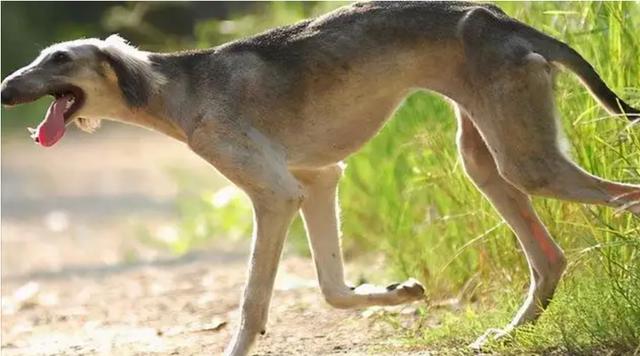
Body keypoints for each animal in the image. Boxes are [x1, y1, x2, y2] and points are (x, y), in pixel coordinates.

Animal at [1, 1, 640, 354]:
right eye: (41, 56)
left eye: (60, 59)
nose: (5, 88)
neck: (177, 88)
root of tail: (500, 18)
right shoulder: (318, 180)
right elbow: (333, 289)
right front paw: (397, 292)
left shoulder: (276, 195)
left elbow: (252, 303)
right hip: (488, 160)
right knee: (549, 260)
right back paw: (506, 335)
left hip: (526, 162)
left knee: (623, 199)